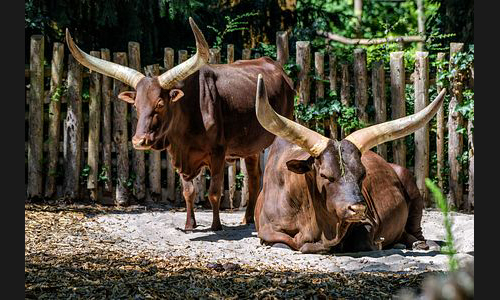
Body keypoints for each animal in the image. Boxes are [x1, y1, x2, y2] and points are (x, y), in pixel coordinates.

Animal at [65, 18, 292, 230]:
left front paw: (216, 225)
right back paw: (247, 219)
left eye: (160, 103)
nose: (139, 140)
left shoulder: (218, 153)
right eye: (136, 105)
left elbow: (214, 192)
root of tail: (279, 70)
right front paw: (189, 224)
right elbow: (188, 191)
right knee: (253, 178)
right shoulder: (179, 154)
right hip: (249, 148)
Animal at [254, 74, 446, 253]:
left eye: (363, 174)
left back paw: (419, 243)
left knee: (416, 231)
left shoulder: (367, 222)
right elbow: (287, 244)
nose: (358, 209)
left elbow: (360, 241)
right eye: (324, 175)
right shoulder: (269, 234)